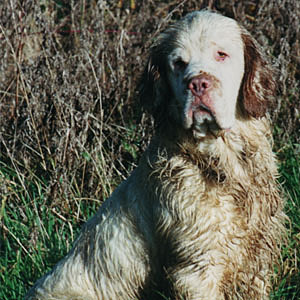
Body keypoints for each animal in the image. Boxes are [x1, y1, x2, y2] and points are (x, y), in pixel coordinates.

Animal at [25, 10, 286, 298]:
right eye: (178, 63)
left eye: (221, 54)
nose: (197, 84)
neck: (223, 164)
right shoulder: (197, 270)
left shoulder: (256, 265)